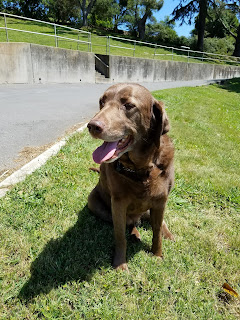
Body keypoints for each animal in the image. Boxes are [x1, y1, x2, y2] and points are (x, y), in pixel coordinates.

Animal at [87, 82, 173, 270]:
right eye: (102, 102)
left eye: (129, 105)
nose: (92, 126)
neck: (140, 169)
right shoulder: (118, 204)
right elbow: (120, 236)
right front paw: (120, 263)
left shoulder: (161, 200)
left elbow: (156, 231)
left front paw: (157, 254)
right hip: (94, 203)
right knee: (130, 223)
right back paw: (135, 234)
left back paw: (168, 233)